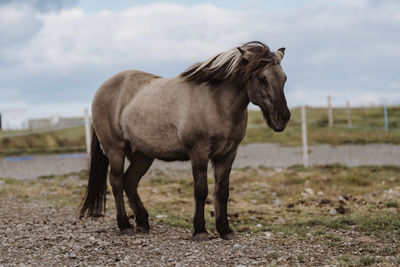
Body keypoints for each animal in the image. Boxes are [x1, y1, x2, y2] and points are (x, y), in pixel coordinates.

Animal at [79, 40, 290, 242]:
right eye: (262, 79)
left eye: (284, 78)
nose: (283, 118)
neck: (216, 103)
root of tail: (102, 88)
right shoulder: (199, 153)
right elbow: (201, 192)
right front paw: (200, 231)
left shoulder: (227, 155)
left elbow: (222, 193)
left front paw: (225, 230)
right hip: (115, 149)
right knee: (116, 182)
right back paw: (125, 226)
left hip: (143, 155)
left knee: (129, 181)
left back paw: (143, 223)